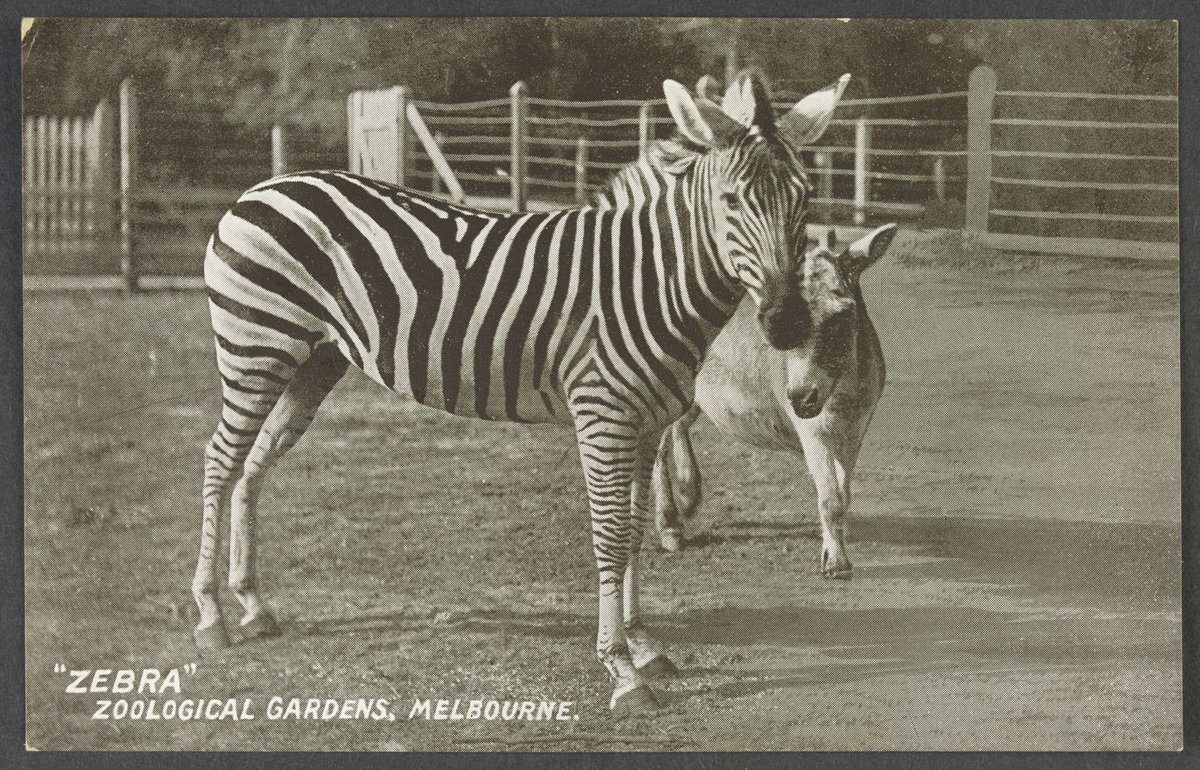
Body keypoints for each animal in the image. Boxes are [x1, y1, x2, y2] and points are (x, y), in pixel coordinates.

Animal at [192, 70, 851, 713]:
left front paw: (643, 644)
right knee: (221, 461)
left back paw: (253, 604)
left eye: (805, 199)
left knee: (254, 465)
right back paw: (211, 613)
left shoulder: (647, 423)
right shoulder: (603, 415)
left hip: (313, 360)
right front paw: (621, 670)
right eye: (731, 200)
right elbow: (610, 534)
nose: (787, 323)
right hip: (255, 348)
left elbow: (635, 531)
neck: (647, 280)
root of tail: (265, 186)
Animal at [651, 225, 897, 581]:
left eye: (843, 314)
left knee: (677, 427)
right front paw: (836, 564)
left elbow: (844, 493)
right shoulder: (812, 430)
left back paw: (688, 494)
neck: (841, 394)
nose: (801, 396)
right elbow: (830, 498)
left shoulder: (855, 430)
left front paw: (834, 552)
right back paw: (669, 526)